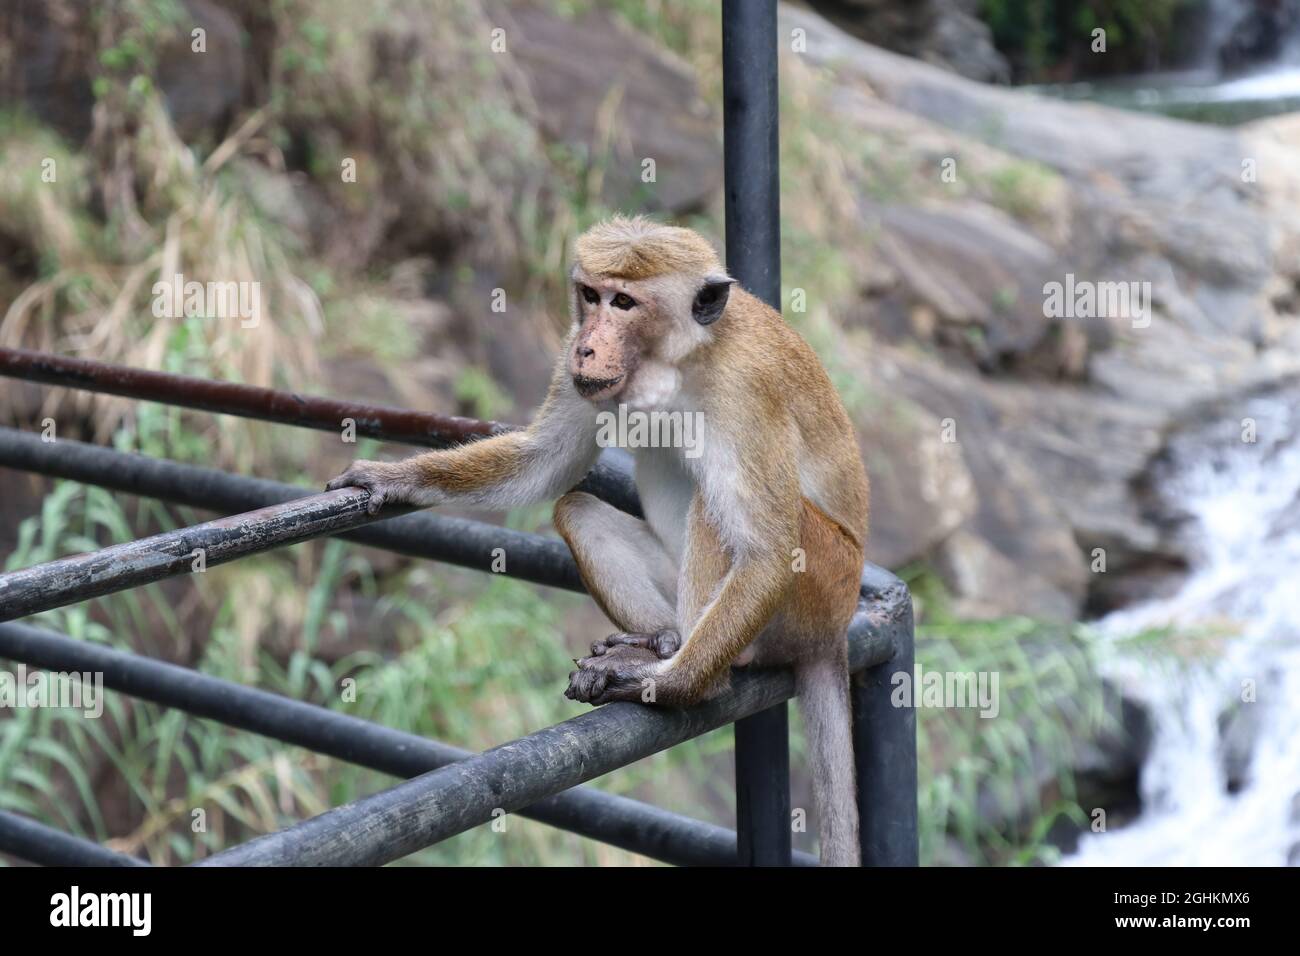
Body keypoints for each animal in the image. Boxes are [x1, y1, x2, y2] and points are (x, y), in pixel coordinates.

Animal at [325, 217, 873, 868]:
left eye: (625, 303)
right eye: (591, 296)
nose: (586, 346)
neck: (680, 360)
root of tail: (836, 627)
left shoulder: (748, 392)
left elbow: (768, 549)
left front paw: (670, 684)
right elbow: (546, 462)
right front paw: (389, 477)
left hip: (823, 585)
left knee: (721, 517)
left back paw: (697, 670)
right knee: (579, 509)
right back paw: (661, 639)